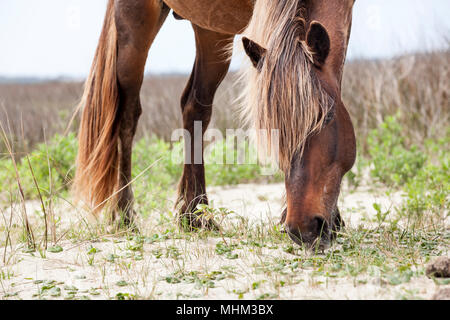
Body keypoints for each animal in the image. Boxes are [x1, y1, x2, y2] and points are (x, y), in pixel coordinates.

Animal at [73, 0, 356, 250]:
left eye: (328, 117)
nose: (303, 228)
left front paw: (332, 220)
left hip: (213, 26)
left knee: (194, 106)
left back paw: (193, 214)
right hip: (140, 23)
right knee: (128, 116)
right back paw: (126, 214)